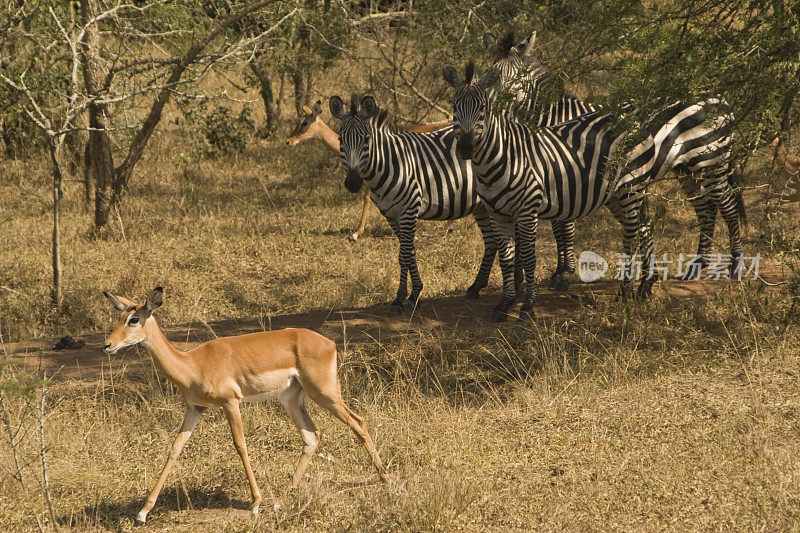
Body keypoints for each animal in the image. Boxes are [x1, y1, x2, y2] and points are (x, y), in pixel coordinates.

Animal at [103, 286, 388, 524]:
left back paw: (385, 478)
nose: (108, 345)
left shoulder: (231, 403)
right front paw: (142, 512)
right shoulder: (195, 408)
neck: (192, 365)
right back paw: (281, 499)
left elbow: (240, 446)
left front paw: (255, 503)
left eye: (134, 319)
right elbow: (174, 449)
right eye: (119, 317)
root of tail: (329, 343)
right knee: (311, 436)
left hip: (324, 393)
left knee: (358, 422)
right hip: (292, 399)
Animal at [324, 94, 500, 314]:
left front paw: (403, 298)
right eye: (340, 140)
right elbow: (409, 253)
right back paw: (476, 287)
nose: (353, 183)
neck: (388, 164)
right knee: (492, 242)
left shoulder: (409, 209)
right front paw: (415, 292)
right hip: (481, 206)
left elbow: (404, 255)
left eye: (366, 140)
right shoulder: (391, 215)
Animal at [444, 62, 656, 320]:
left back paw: (626, 293)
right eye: (455, 107)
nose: (465, 148)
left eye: (483, 109)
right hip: (616, 194)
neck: (499, 158)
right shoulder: (497, 214)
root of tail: (631, 116)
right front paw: (505, 303)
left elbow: (528, 258)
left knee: (630, 237)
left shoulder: (527, 211)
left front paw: (528, 306)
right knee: (644, 227)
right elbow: (506, 260)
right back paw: (645, 285)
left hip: (631, 187)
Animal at [484, 29, 748, 284]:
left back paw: (735, 267)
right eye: (490, 76)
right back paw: (696, 266)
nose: (493, 107)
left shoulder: (566, 175)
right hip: (686, 167)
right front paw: (558, 271)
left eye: (514, 79)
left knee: (728, 205)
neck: (554, 119)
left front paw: (564, 273)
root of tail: (717, 97)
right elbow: (557, 225)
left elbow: (563, 226)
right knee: (705, 207)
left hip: (711, 160)